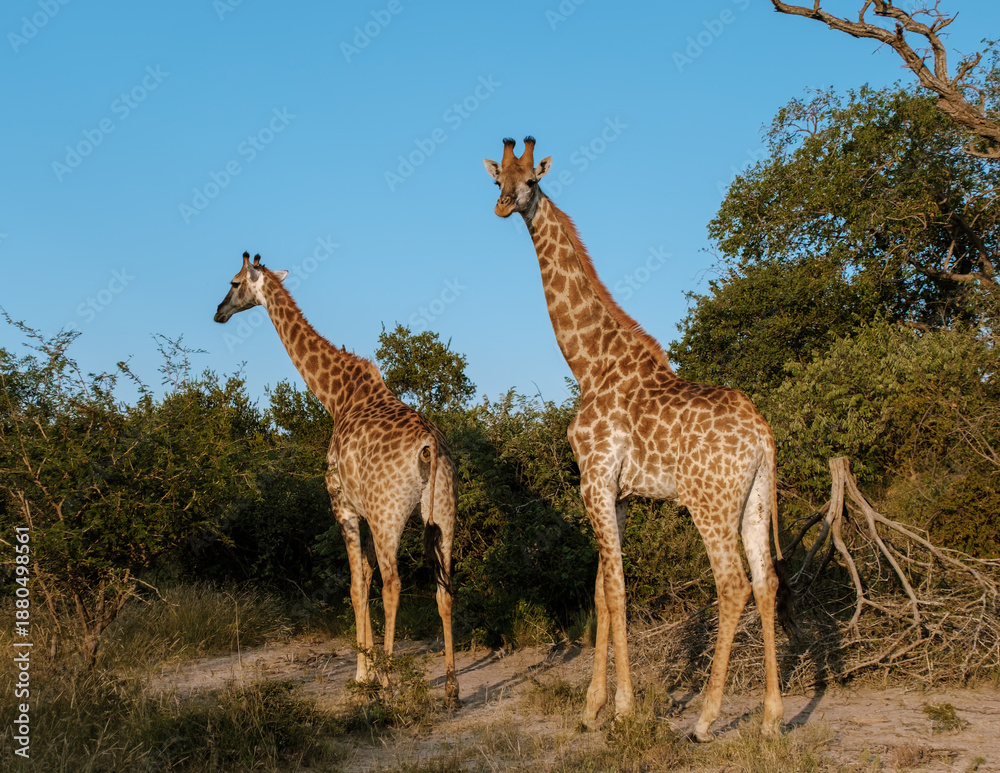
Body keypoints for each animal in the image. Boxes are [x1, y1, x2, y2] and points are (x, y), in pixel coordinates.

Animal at [214, 252, 459, 706]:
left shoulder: (343, 505)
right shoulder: (360, 511)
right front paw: (367, 672)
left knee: (394, 584)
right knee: (444, 588)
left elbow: (356, 585)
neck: (336, 396)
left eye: (235, 283)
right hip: (443, 514)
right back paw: (452, 690)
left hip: (388, 515)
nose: (218, 312)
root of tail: (430, 448)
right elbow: (363, 579)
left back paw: (389, 684)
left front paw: (364, 679)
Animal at [484, 138, 792, 741]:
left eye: (531, 180)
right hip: (752, 499)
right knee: (765, 581)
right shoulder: (618, 492)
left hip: (709, 503)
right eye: (496, 180)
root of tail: (763, 434)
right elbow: (603, 591)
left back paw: (704, 720)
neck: (589, 363)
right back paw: (770, 719)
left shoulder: (595, 480)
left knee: (733, 584)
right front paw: (591, 707)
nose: (505, 206)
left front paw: (622, 708)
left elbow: (617, 590)